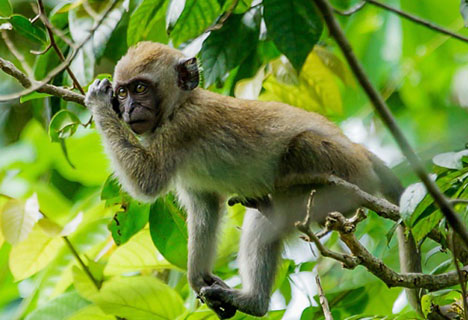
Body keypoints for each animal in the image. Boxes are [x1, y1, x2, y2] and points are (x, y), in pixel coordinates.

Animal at [86, 42, 422, 318]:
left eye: (140, 88)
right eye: (123, 92)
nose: (129, 109)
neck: (179, 106)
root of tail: (361, 151)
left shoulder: (184, 127)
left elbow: (147, 181)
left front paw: (97, 102)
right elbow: (205, 208)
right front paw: (198, 278)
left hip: (344, 171)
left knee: (298, 154)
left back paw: (254, 297)